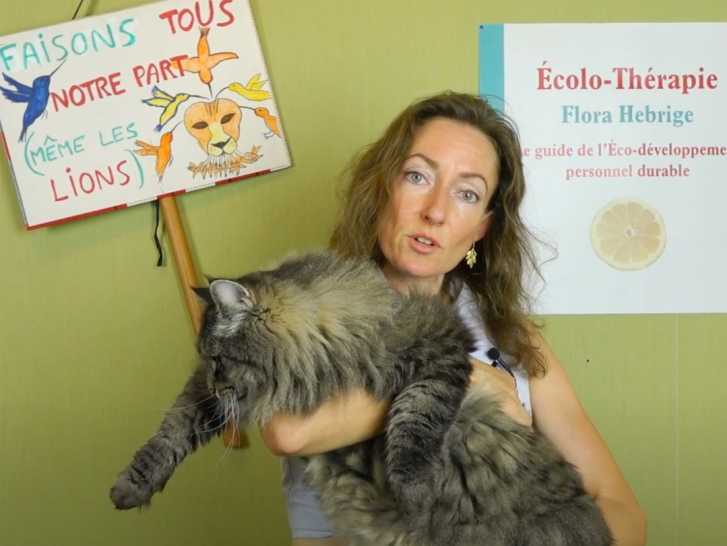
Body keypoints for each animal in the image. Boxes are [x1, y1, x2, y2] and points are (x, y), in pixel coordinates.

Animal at [110, 251, 612, 546]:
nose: (215, 383)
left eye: (217, 358)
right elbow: (171, 430)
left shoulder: (441, 348)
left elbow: (415, 416)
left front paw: (411, 487)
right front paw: (130, 487)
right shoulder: (214, 399)